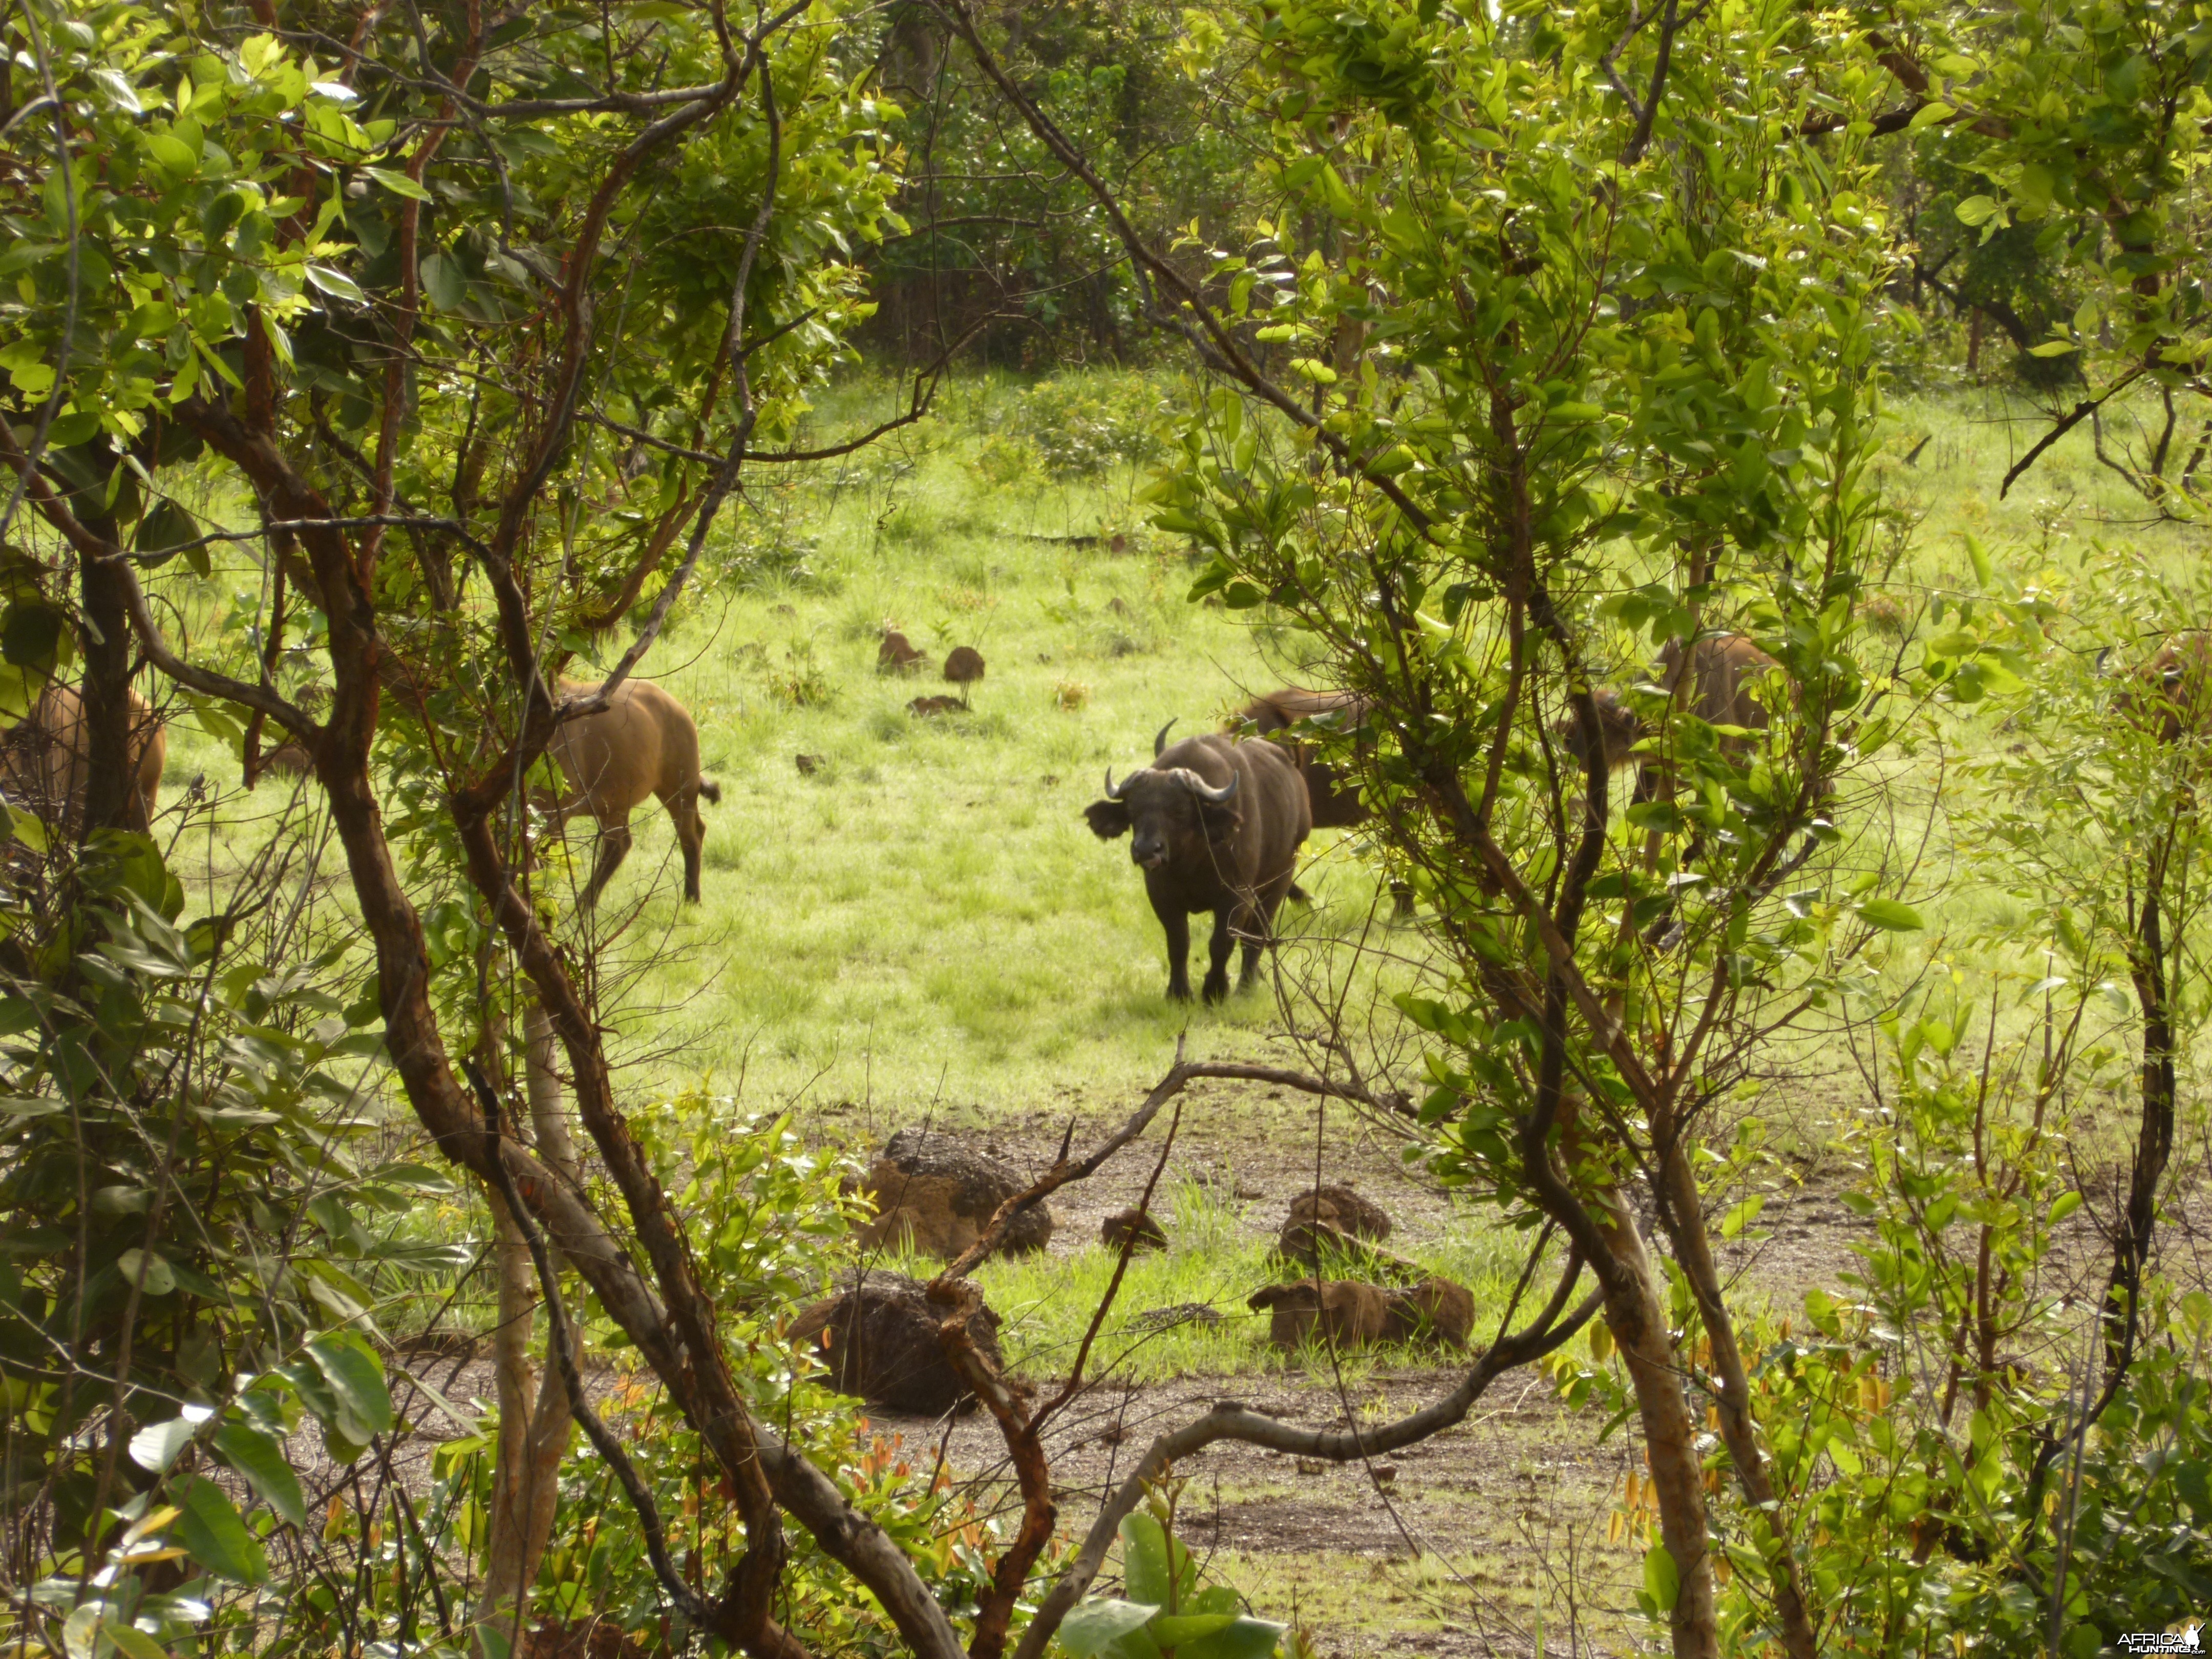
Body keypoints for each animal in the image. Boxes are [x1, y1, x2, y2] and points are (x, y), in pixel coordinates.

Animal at [548, 676, 721, 911]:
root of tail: (678, 709)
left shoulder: (554, 812)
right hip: (615, 804)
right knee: (619, 846)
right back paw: (585, 905)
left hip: (678, 789)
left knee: (691, 835)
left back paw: (691, 898)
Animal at [1079, 725, 1301, 999]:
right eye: (1133, 809)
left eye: (1180, 810)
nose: (1145, 850)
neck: (1191, 860)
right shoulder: (1162, 896)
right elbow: (1178, 943)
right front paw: (1179, 993)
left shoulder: (1236, 897)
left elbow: (1221, 943)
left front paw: (1215, 990)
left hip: (1279, 882)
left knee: (1256, 938)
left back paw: (1246, 987)